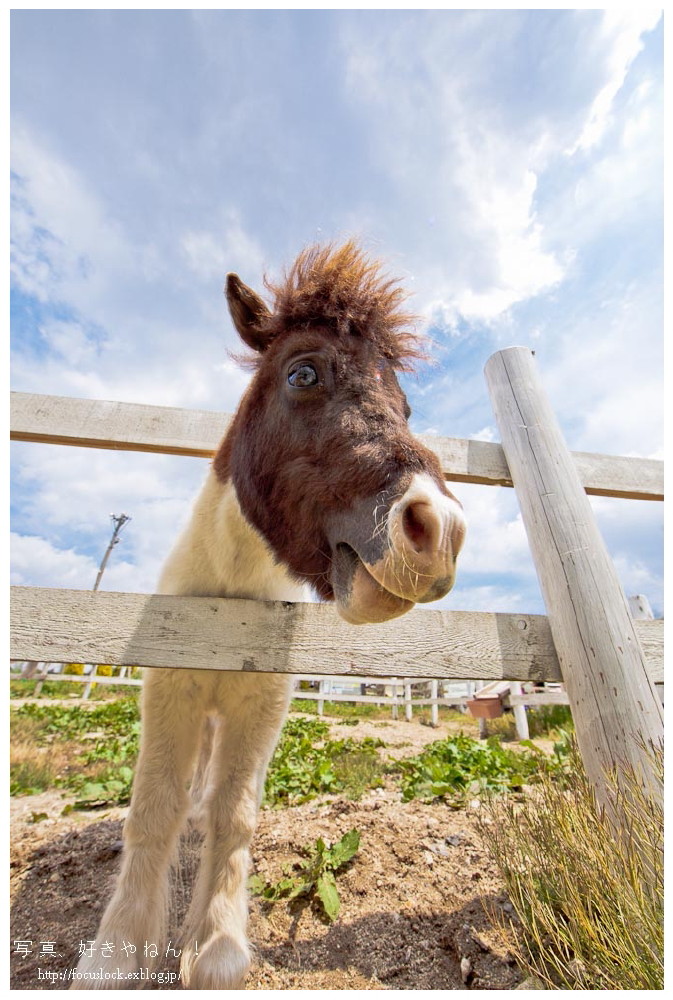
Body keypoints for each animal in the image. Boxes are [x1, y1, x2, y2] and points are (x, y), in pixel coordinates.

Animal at [72, 244, 462, 992]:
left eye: (403, 405)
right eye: (302, 373)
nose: (438, 531)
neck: (231, 594)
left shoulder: (262, 704)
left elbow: (235, 814)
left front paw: (214, 946)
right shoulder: (171, 688)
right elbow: (153, 811)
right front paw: (118, 953)